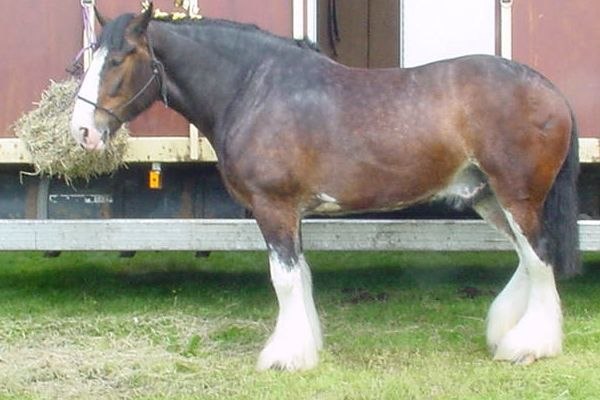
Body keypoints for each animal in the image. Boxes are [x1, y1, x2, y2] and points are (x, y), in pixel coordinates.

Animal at [68, 3, 580, 372]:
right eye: (87, 63)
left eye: (118, 60)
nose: (82, 132)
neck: (254, 89)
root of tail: (548, 89)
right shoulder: (292, 214)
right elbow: (302, 276)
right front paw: (305, 346)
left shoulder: (273, 208)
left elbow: (285, 279)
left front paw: (284, 357)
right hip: (489, 199)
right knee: (527, 257)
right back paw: (506, 331)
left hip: (517, 196)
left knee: (540, 257)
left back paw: (529, 346)